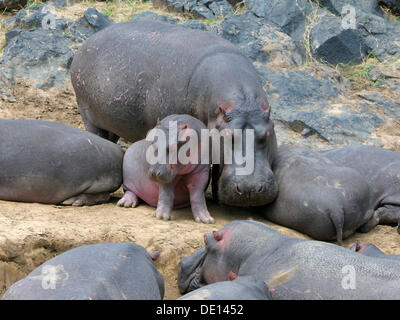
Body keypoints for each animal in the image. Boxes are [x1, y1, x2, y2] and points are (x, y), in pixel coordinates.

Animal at [71, 18, 278, 208]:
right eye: (227, 137)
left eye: (267, 135)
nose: (250, 189)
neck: (243, 103)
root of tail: (85, 44)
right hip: (88, 114)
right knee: (95, 135)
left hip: (111, 124)